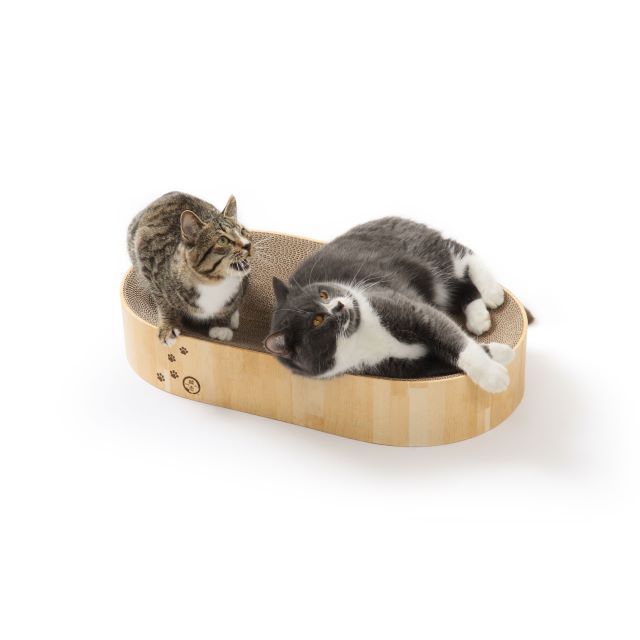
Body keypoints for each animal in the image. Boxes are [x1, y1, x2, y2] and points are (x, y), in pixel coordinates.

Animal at [127, 191, 252, 346]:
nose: (248, 245)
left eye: (243, 231)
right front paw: (169, 325)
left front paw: (222, 325)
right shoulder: (148, 262)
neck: (213, 283)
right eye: (223, 240)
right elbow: (163, 301)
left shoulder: (243, 282)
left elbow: (233, 303)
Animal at [263, 217, 515, 393]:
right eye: (317, 320)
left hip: (423, 253)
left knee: (461, 254)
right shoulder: (402, 367)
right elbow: (441, 360)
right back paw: (478, 317)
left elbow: (448, 334)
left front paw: (493, 375)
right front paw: (500, 354)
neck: (360, 335)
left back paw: (492, 293)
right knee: (460, 286)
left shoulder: (398, 305)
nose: (339, 305)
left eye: (324, 294)